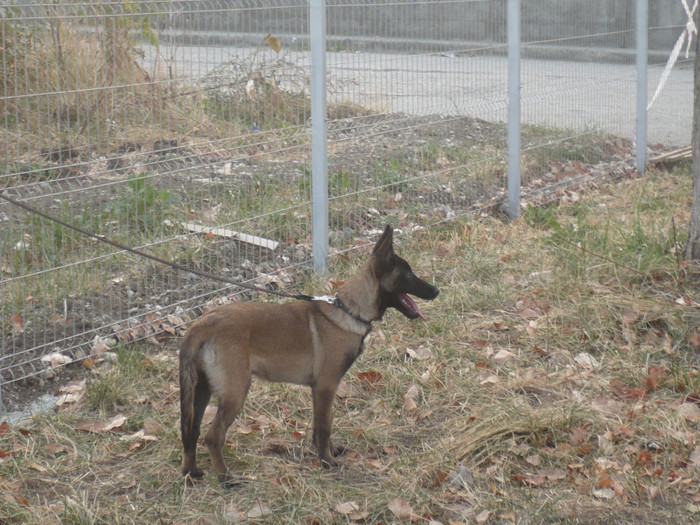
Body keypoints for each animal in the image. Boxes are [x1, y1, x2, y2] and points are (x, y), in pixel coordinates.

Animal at [180, 225, 440, 484]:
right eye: (408, 275)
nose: (436, 290)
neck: (350, 311)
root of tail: (200, 325)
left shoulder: (321, 389)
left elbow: (323, 424)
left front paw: (328, 452)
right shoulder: (326, 386)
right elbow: (324, 426)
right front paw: (327, 461)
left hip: (201, 391)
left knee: (191, 431)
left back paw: (191, 472)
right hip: (235, 392)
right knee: (213, 435)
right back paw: (226, 478)